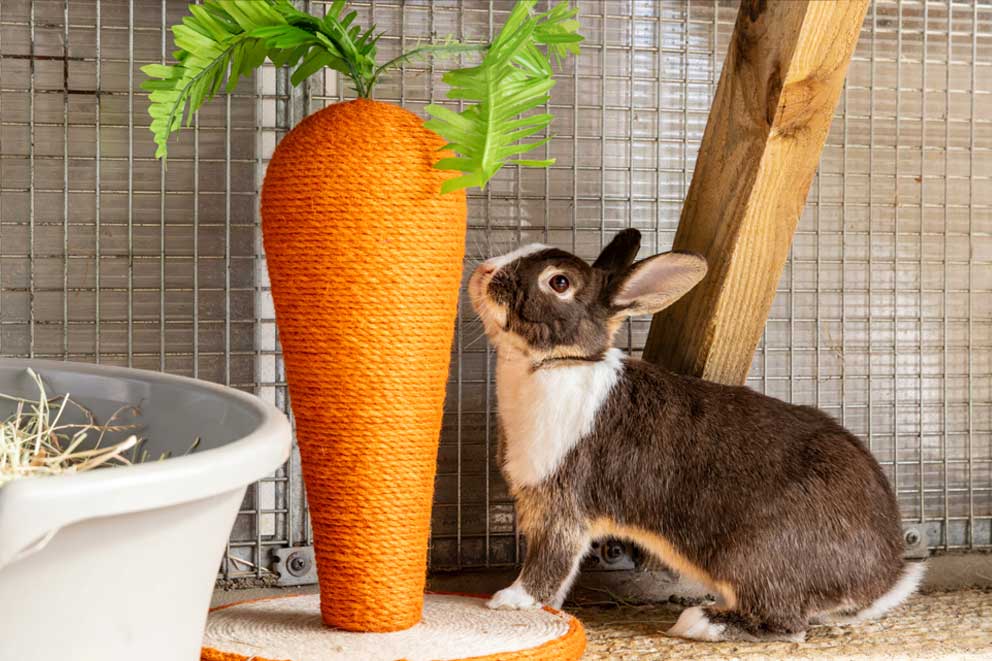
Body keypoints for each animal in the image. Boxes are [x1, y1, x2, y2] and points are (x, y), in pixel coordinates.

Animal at [468, 228, 924, 643]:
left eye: (559, 282)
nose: (483, 271)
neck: (558, 362)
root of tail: (882, 579)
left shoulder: (560, 506)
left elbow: (549, 562)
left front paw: (510, 601)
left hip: (752, 557)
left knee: (786, 625)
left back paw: (702, 622)